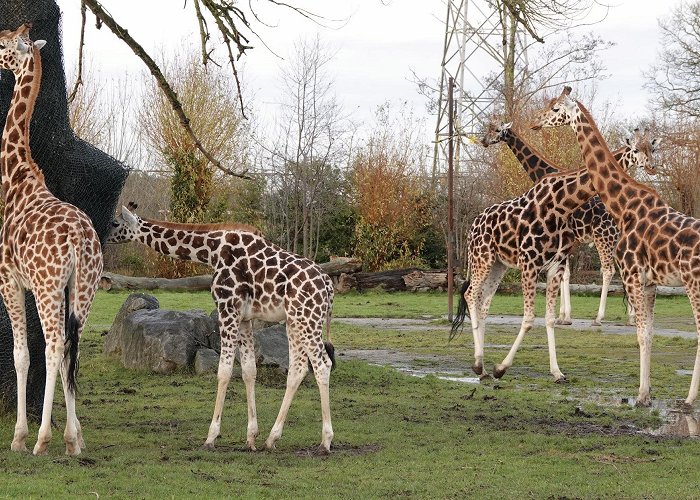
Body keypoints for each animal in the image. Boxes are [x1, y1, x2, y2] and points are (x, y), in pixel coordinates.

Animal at [108, 205, 338, 456]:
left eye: (115, 223)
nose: (104, 236)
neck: (212, 251)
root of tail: (328, 285)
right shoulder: (245, 318)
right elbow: (249, 370)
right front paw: (251, 438)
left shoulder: (227, 309)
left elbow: (224, 371)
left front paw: (211, 437)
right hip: (295, 320)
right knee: (298, 369)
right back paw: (271, 439)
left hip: (307, 319)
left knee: (322, 365)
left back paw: (325, 442)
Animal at [482, 123, 656, 326]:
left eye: (495, 130)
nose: (484, 141)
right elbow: (565, 274)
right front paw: (563, 316)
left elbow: (563, 273)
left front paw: (563, 317)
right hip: (616, 240)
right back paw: (632, 317)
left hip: (604, 237)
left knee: (608, 270)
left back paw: (600, 318)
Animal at [532, 85, 700, 406]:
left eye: (557, 108)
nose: (536, 122)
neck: (625, 205)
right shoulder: (649, 282)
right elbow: (648, 333)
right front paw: (647, 392)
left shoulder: (633, 273)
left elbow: (641, 333)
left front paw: (642, 395)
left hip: (693, 284)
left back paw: (688, 400)